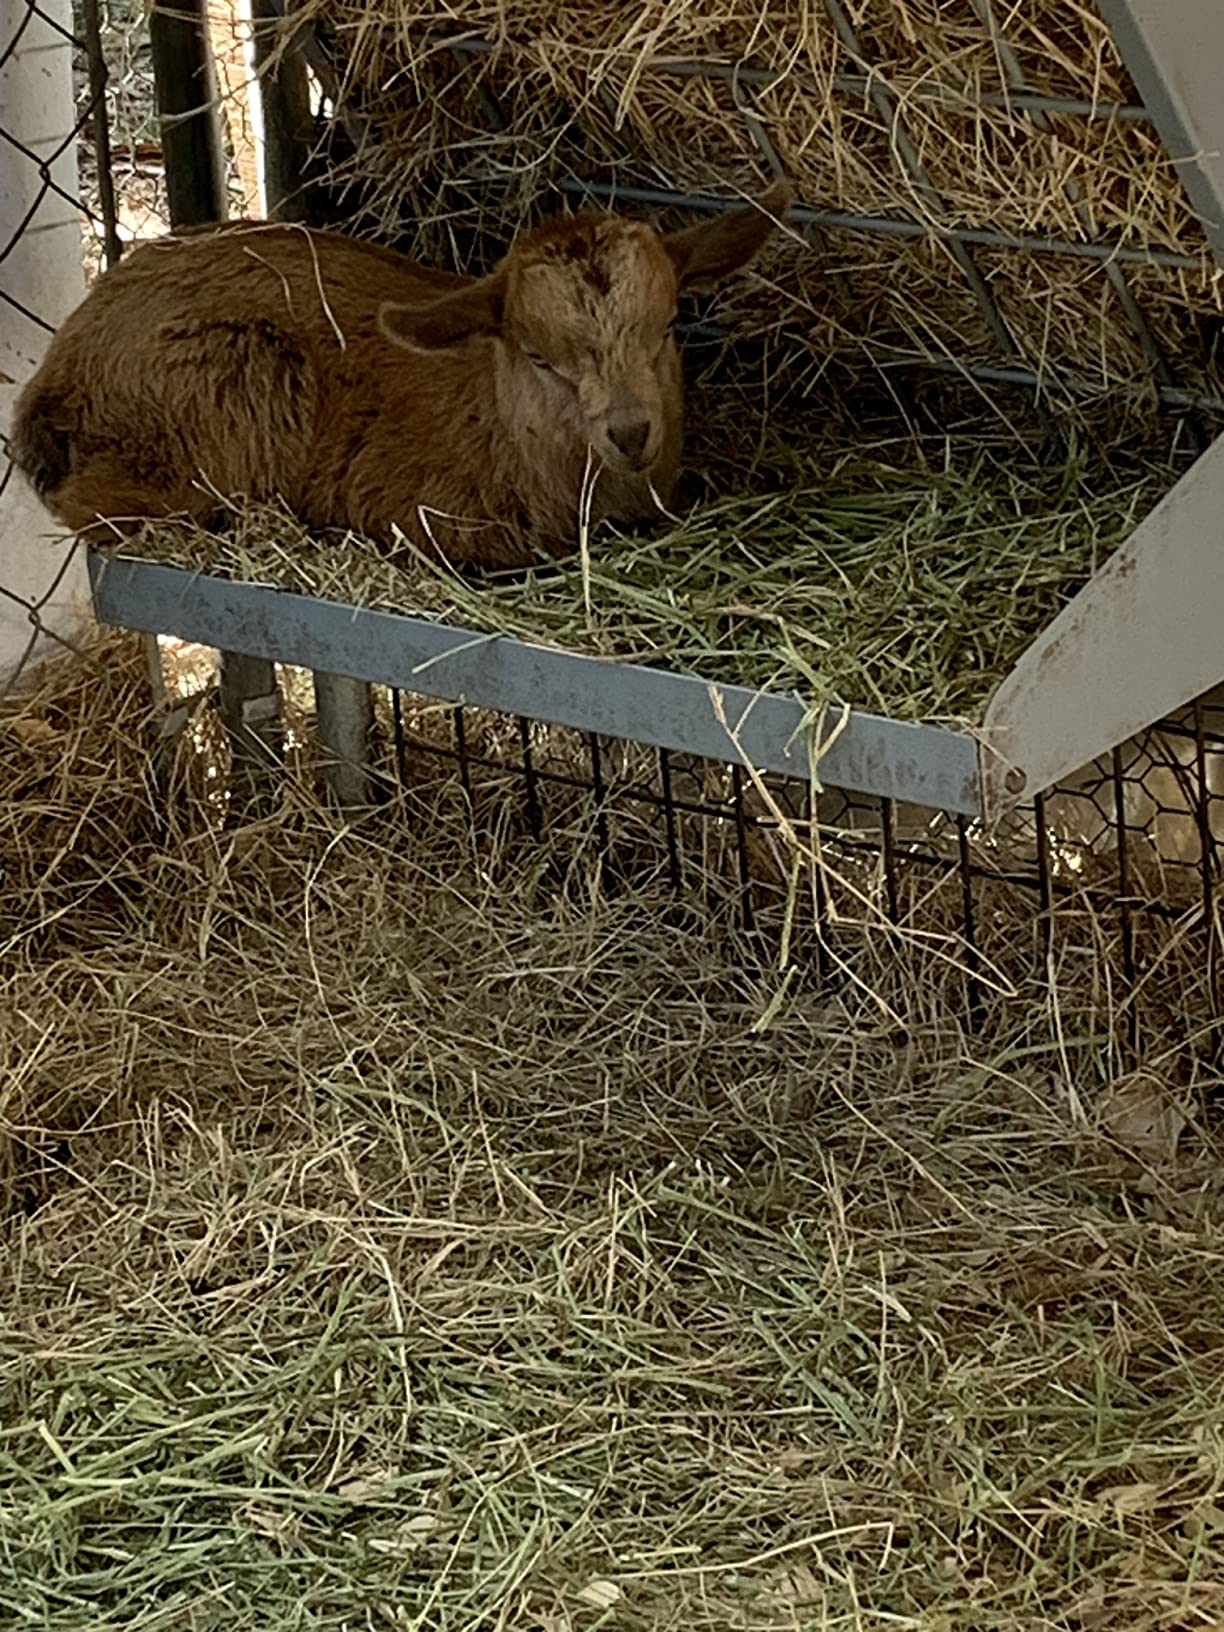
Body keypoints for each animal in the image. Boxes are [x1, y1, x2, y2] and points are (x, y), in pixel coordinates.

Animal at [11, 184, 791, 568]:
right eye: (539, 356)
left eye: (668, 328)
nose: (631, 431)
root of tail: (60, 372)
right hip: (230, 391)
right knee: (96, 504)